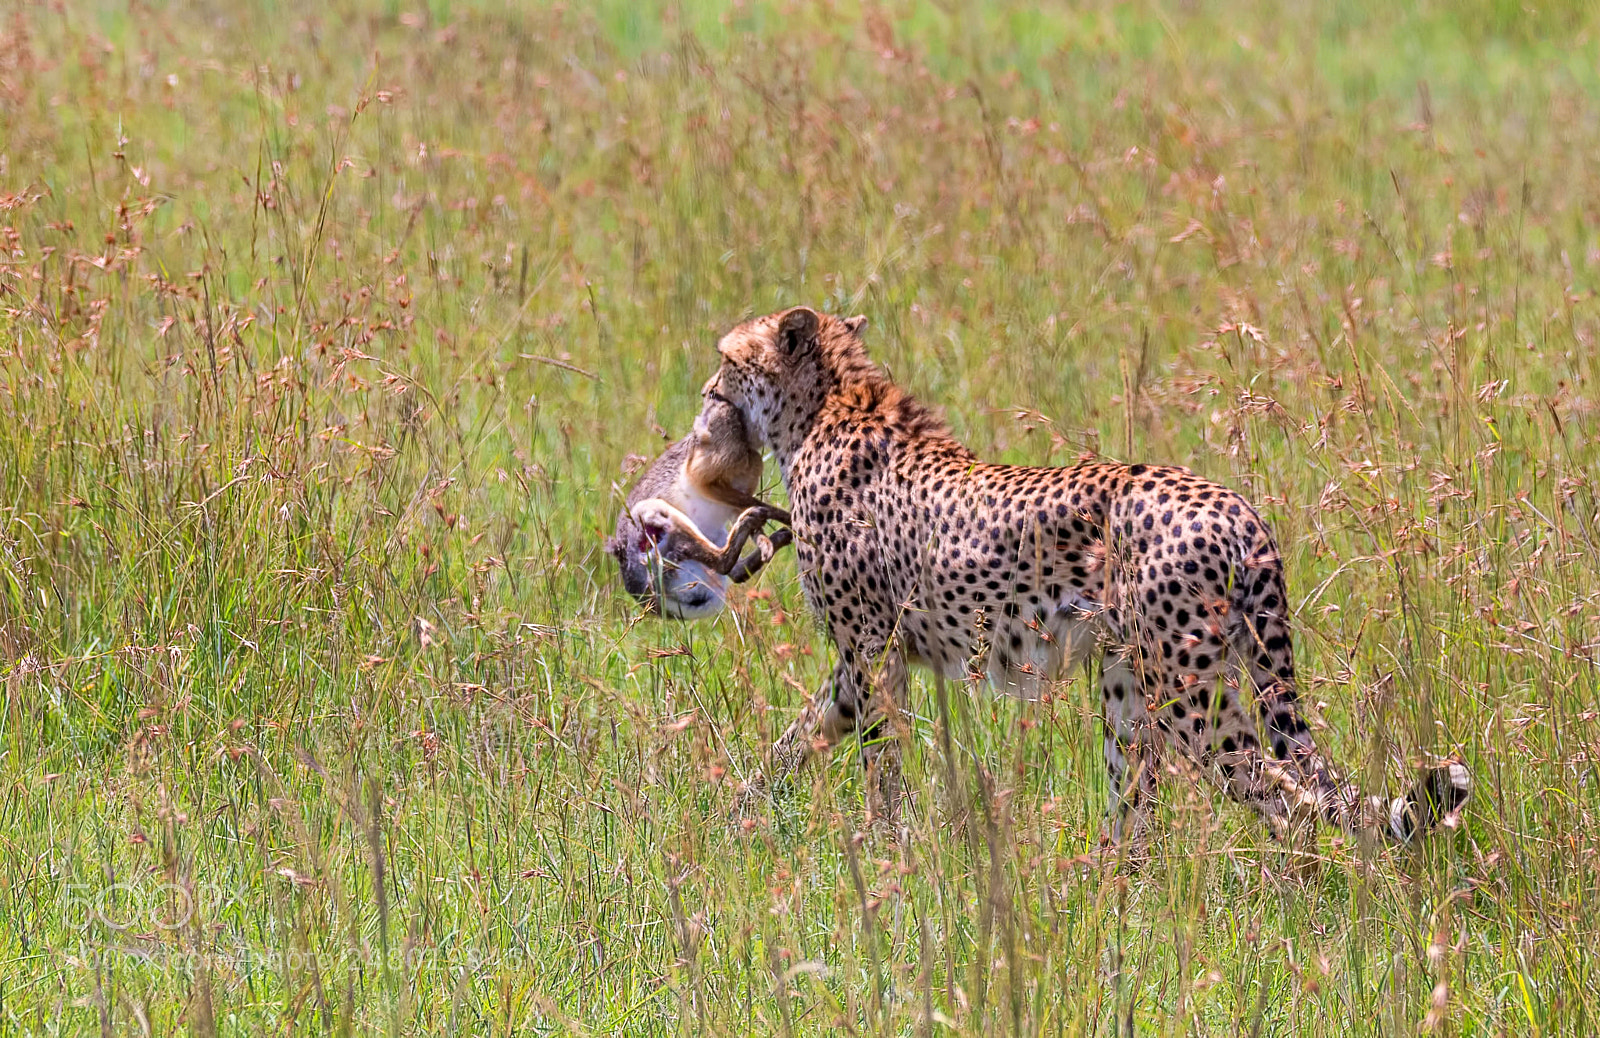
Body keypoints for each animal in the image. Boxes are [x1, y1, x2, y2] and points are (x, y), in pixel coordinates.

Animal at [702, 305, 1470, 847]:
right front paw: (738, 818)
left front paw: (890, 854)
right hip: (1129, 681)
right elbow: (799, 737)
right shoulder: (859, 663)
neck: (826, 408)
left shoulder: (872, 652)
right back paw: (1111, 900)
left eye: (726, 361)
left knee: (1278, 789)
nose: (706, 390)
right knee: (1142, 805)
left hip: (1185, 690)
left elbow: (877, 765)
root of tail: (1237, 505)